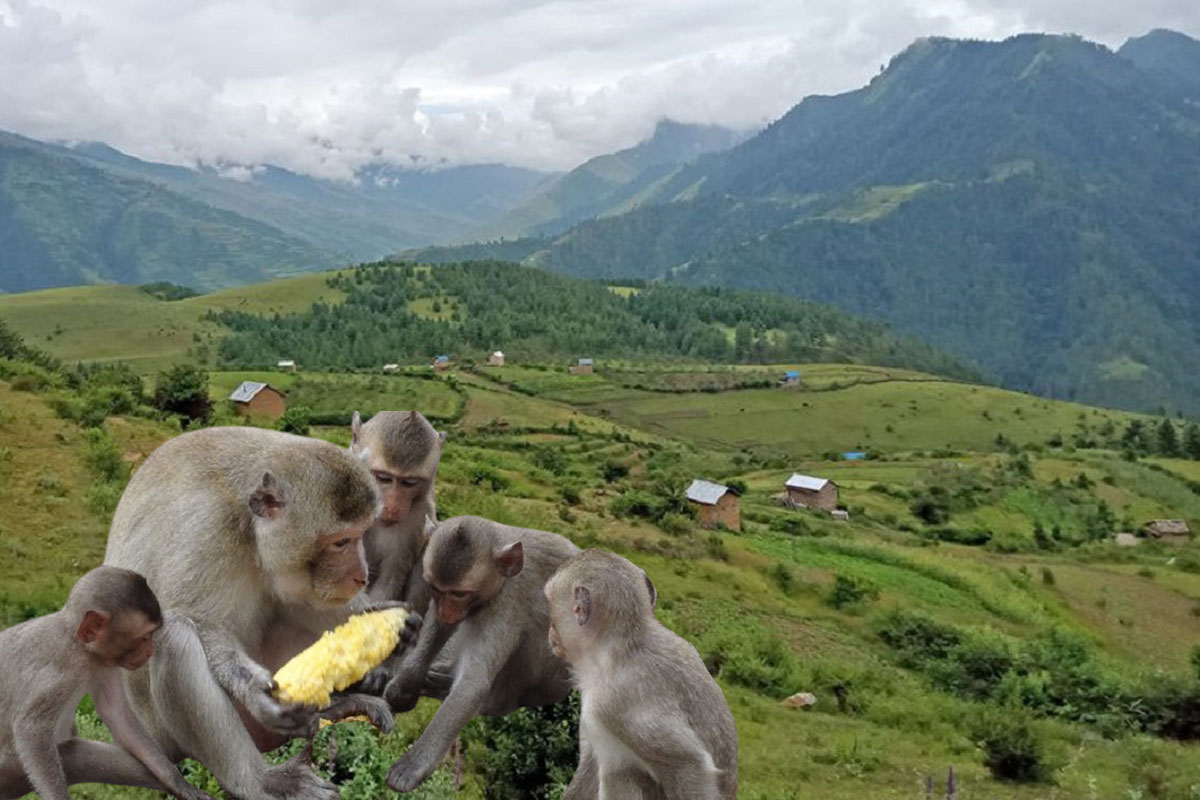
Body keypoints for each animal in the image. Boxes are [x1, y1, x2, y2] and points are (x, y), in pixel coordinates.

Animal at [0, 563, 211, 800]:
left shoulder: (104, 665)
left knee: (76, 755)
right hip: (9, 770)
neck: (81, 647)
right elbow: (31, 729)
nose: (150, 651)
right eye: (144, 637)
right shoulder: (62, 673)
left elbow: (116, 713)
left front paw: (178, 783)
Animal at [381, 520, 573, 796]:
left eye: (460, 593)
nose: (447, 610)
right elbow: (439, 628)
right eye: (437, 589)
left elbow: (473, 684)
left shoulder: (506, 604)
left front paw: (413, 765)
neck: (502, 579)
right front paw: (405, 686)